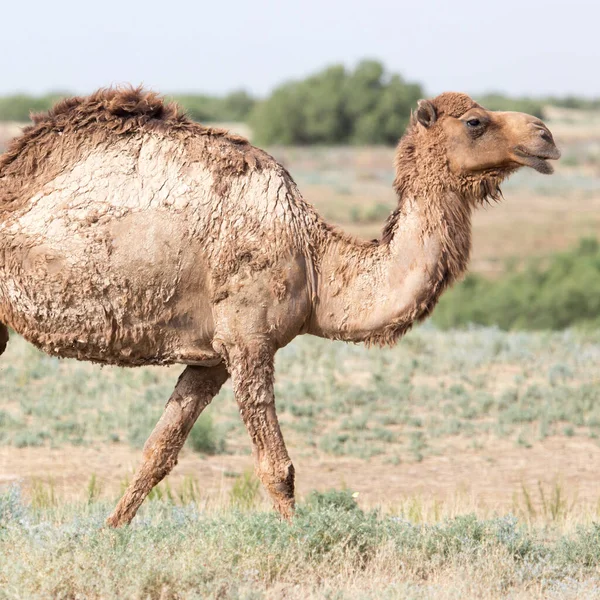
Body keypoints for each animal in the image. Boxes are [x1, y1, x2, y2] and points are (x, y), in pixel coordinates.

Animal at [0, 88, 556, 524]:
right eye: (475, 121)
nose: (545, 135)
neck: (315, 262)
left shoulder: (210, 357)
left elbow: (158, 451)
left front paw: (108, 534)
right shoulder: (249, 339)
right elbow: (277, 468)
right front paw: (301, 544)